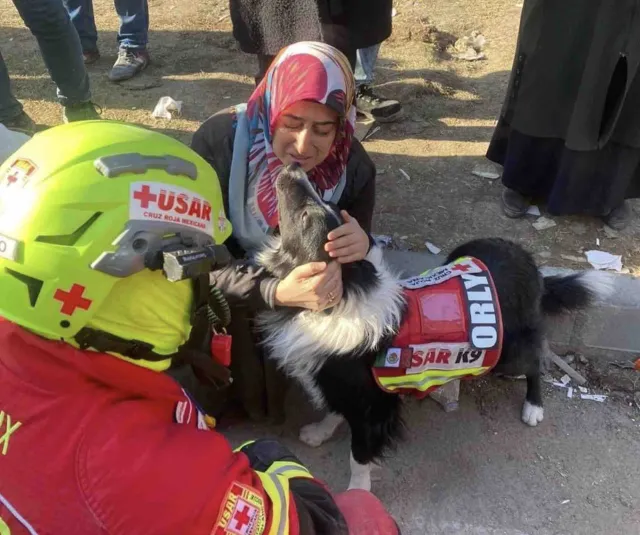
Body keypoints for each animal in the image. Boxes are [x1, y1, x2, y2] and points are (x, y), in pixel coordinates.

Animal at [255, 165, 608, 492]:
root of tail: (524, 258)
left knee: (535, 361)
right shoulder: (343, 386)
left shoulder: (373, 408)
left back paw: (533, 406)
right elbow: (334, 410)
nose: (293, 167)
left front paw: (358, 493)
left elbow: (359, 456)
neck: (345, 292)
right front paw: (320, 432)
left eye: (306, 216)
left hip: (508, 351)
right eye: (321, 206)